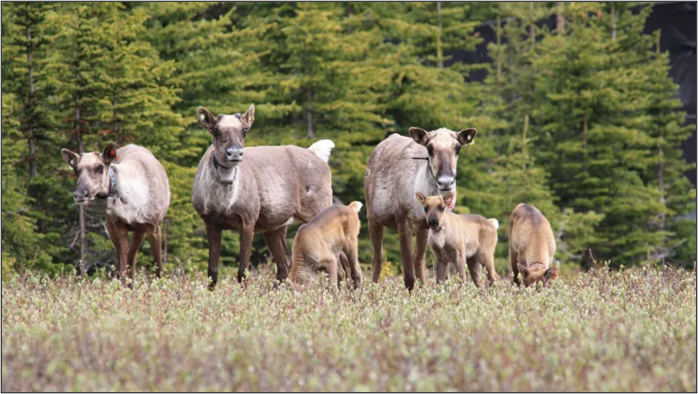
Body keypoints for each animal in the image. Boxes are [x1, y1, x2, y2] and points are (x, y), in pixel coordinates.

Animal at [62, 143, 171, 282]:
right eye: (76, 169)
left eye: (100, 167)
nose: (80, 194)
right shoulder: (119, 226)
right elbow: (123, 267)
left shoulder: (154, 226)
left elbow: (159, 269)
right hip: (111, 225)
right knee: (125, 260)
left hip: (140, 231)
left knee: (132, 257)